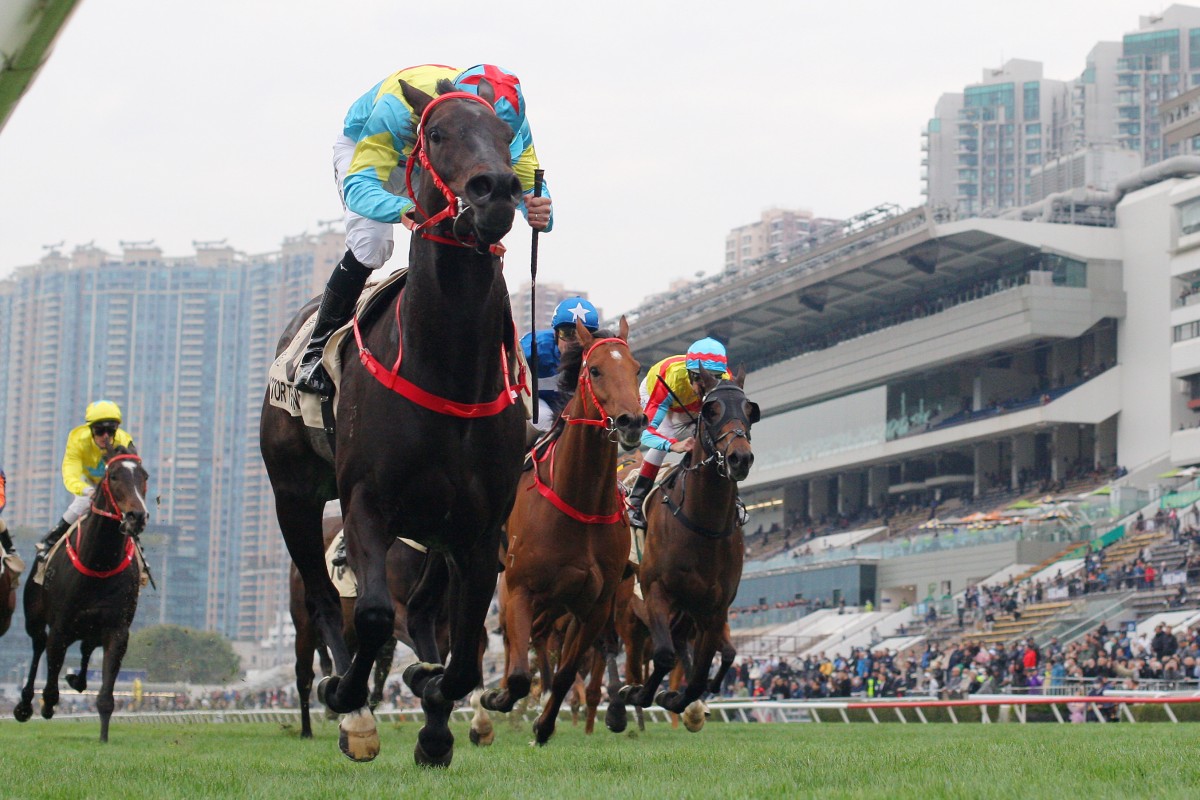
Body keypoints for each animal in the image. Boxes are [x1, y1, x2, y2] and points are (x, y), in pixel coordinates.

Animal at [14, 450, 150, 743]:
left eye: (144, 476)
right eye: (114, 476)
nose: (137, 516)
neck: (99, 562)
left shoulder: (117, 629)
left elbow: (106, 695)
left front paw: (103, 737)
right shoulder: (60, 626)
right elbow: (50, 682)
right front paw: (45, 705)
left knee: (86, 649)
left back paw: (76, 680)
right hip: (34, 617)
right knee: (38, 645)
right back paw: (25, 704)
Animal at [260, 77, 528, 767]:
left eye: (506, 134)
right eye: (436, 133)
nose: (496, 190)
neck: (448, 367)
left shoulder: (480, 531)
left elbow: (465, 657)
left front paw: (435, 715)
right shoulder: (365, 504)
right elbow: (376, 618)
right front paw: (351, 697)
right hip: (294, 494)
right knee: (324, 599)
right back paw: (349, 708)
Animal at [480, 321, 648, 748]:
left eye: (636, 368)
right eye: (595, 370)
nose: (632, 422)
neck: (580, 502)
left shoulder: (595, 605)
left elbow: (568, 671)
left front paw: (543, 726)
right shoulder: (520, 589)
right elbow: (519, 675)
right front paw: (500, 697)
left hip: (557, 604)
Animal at [619, 371, 758, 714]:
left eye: (750, 411)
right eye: (710, 411)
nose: (740, 458)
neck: (703, 526)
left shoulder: (714, 609)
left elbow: (698, 676)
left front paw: (676, 697)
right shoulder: (655, 591)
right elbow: (664, 656)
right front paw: (639, 694)